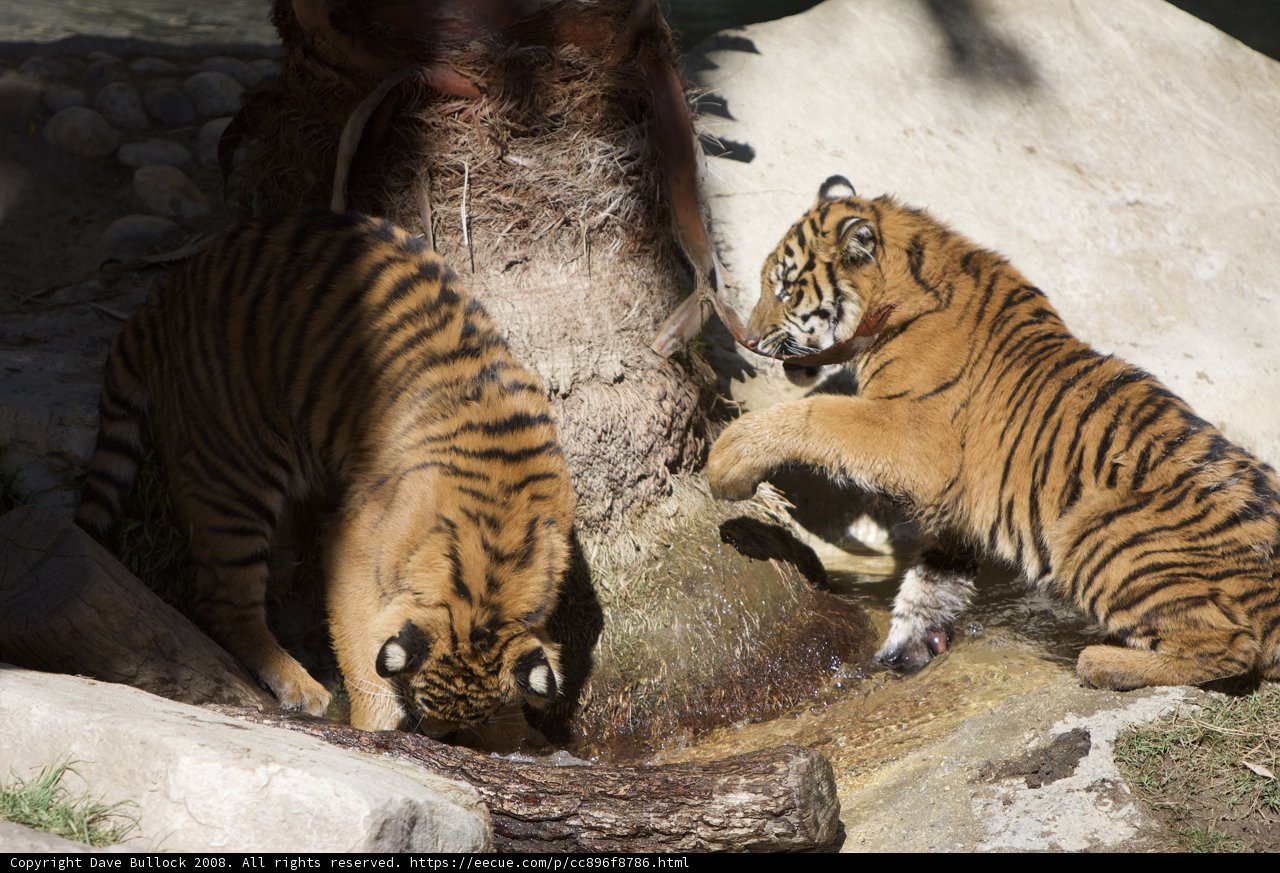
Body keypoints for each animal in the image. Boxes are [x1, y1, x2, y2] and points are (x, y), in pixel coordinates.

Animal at [75, 210, 577, 736]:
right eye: (419, 709)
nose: (437, 739)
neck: (496, 559)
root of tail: (164, 296)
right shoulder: (354, 547)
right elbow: (360, 650)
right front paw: (375, 724)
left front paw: (519, 738)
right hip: (230, 472)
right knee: (223, 600)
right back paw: (303, 688)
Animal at [706, 175, 1280, 690]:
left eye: (784, 289)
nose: (751, 338)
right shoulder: (955, 505)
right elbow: (930, 581)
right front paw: (903, 650)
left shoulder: (914, 437)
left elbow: (818, 413)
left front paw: (728, 461)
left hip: (1095, 528)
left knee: (1232, 646)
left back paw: (1102, 663)